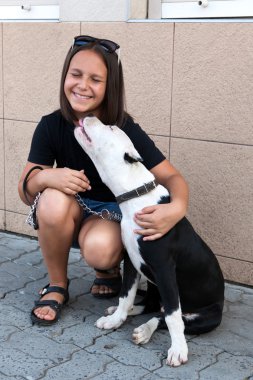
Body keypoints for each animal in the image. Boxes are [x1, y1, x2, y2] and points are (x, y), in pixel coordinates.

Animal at [74, 116, 224, 368]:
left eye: (111, 127)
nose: (89, 116)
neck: (135, 196)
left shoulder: (165, 270)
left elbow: (173, 317)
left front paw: (178, 350)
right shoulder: (131, 261)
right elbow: (126, 294)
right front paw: (117, 319)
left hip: (207, 317)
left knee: (167, 316)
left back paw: (145, 330)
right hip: (154, 285)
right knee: (153, 306)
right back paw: (126, 313)